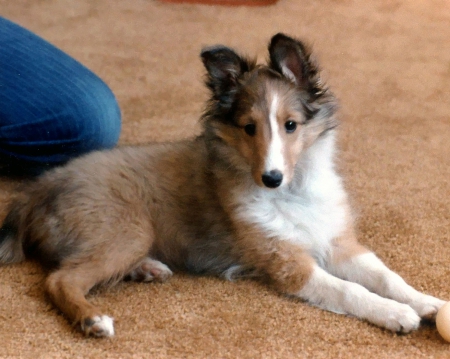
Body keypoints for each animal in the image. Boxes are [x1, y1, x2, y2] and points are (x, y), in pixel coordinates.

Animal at [0, 33, 444, 338]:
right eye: (249, 128)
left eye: (291, 125)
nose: (270, 179)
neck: (293, 192)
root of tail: (38, 190)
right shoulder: (288, 263)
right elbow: (350, 291)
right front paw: (396, 314)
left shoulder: (338, 241)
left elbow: (388, 278)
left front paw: (431, 303)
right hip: (126, 229)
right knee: (60, 280)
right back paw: (93, 319)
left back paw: (147, 268)